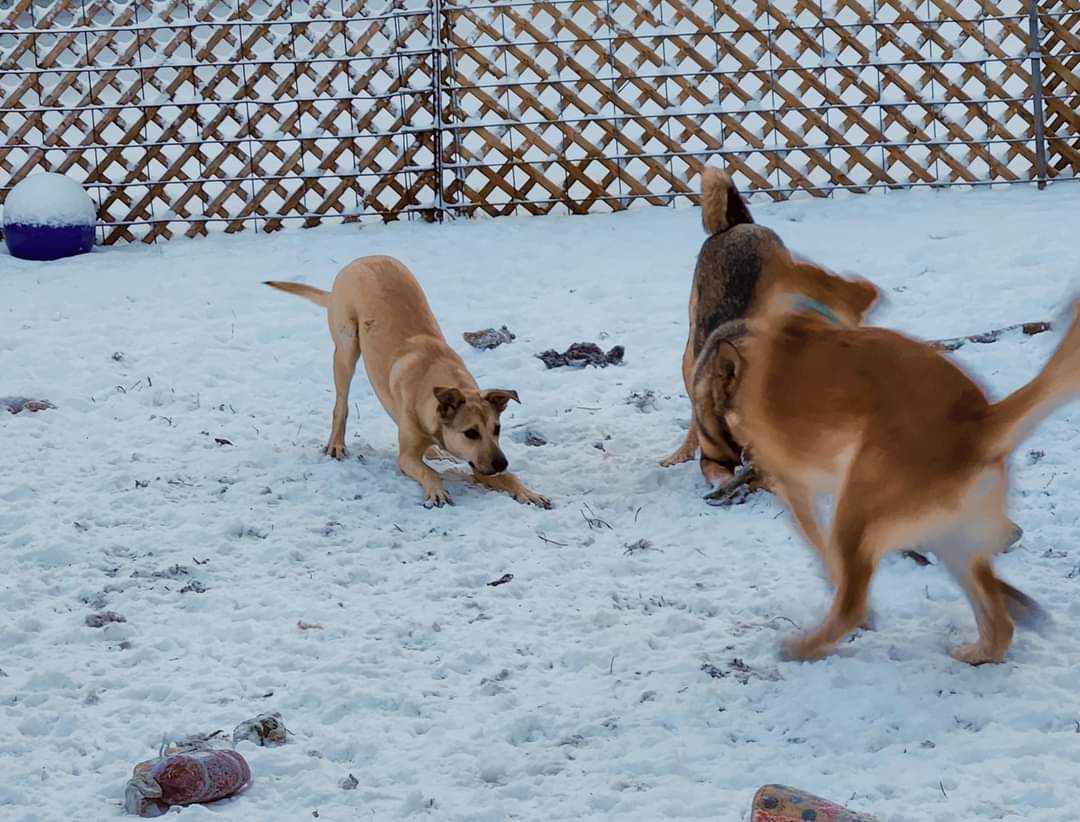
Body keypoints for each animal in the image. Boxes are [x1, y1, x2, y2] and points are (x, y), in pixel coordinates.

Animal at [262, 253, 548, 507]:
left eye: (497, 428)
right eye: (471, 432)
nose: (502, 462)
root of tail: (359, 261)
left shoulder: (477, 461)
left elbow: (506, 477)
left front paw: (528, 492)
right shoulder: (409, 457)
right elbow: (426, 470)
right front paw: (437, 491)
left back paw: (433, 451)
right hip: (346, 348)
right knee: (341, 404)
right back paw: (337, 445)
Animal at [734, 259, 1080, 665]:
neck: (801, 317)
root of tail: (979, 422)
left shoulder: (792, 488)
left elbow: (821, 551)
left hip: (856, 515)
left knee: (852, 606)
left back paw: (801, 648)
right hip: (952, 538)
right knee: (1000, 625)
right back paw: (977, 651)